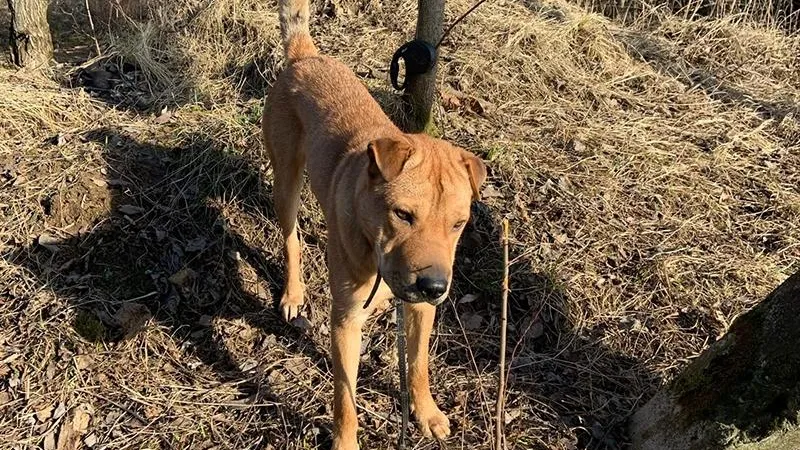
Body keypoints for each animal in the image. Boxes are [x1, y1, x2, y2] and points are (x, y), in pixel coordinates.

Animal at [262, 0, 488, 446]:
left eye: (458, 224)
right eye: (403, 214)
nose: (434, 286)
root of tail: (304, 55)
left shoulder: (420, 311)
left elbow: (418, 365)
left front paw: (427, 412)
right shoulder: (345, 322)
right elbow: (345, 397)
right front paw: (346, 442)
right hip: (287, 181)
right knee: (291, 238)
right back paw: (294, 292)